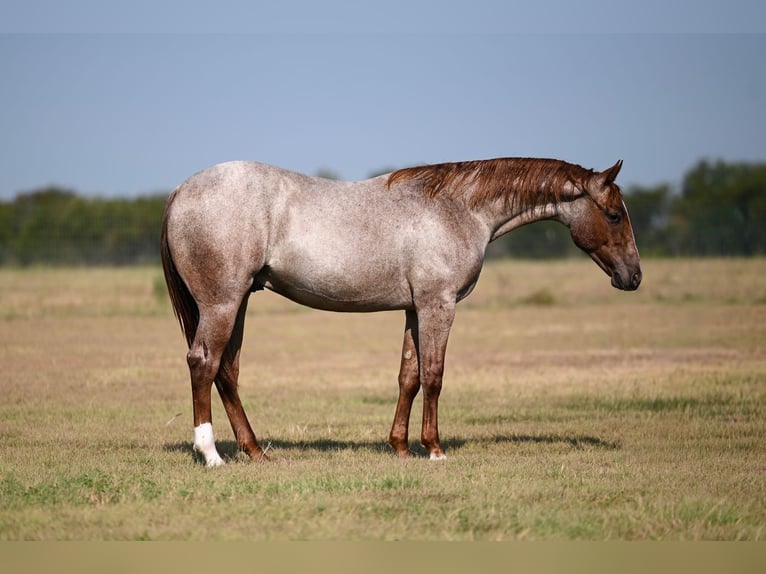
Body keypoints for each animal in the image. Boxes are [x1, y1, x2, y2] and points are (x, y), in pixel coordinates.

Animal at [161, 157, 641, 466]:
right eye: (615, 215)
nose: (634, 276)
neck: (457, 209)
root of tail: (182, 189)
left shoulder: (414, 309)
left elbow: (409, 375)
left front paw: (401, 446)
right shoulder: (437, 305)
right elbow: (434, 374)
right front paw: (434, 449)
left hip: (238, 302)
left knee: (227, 372)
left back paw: (255, 450)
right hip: (222, 303)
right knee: (204, 363)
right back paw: (211, 454)